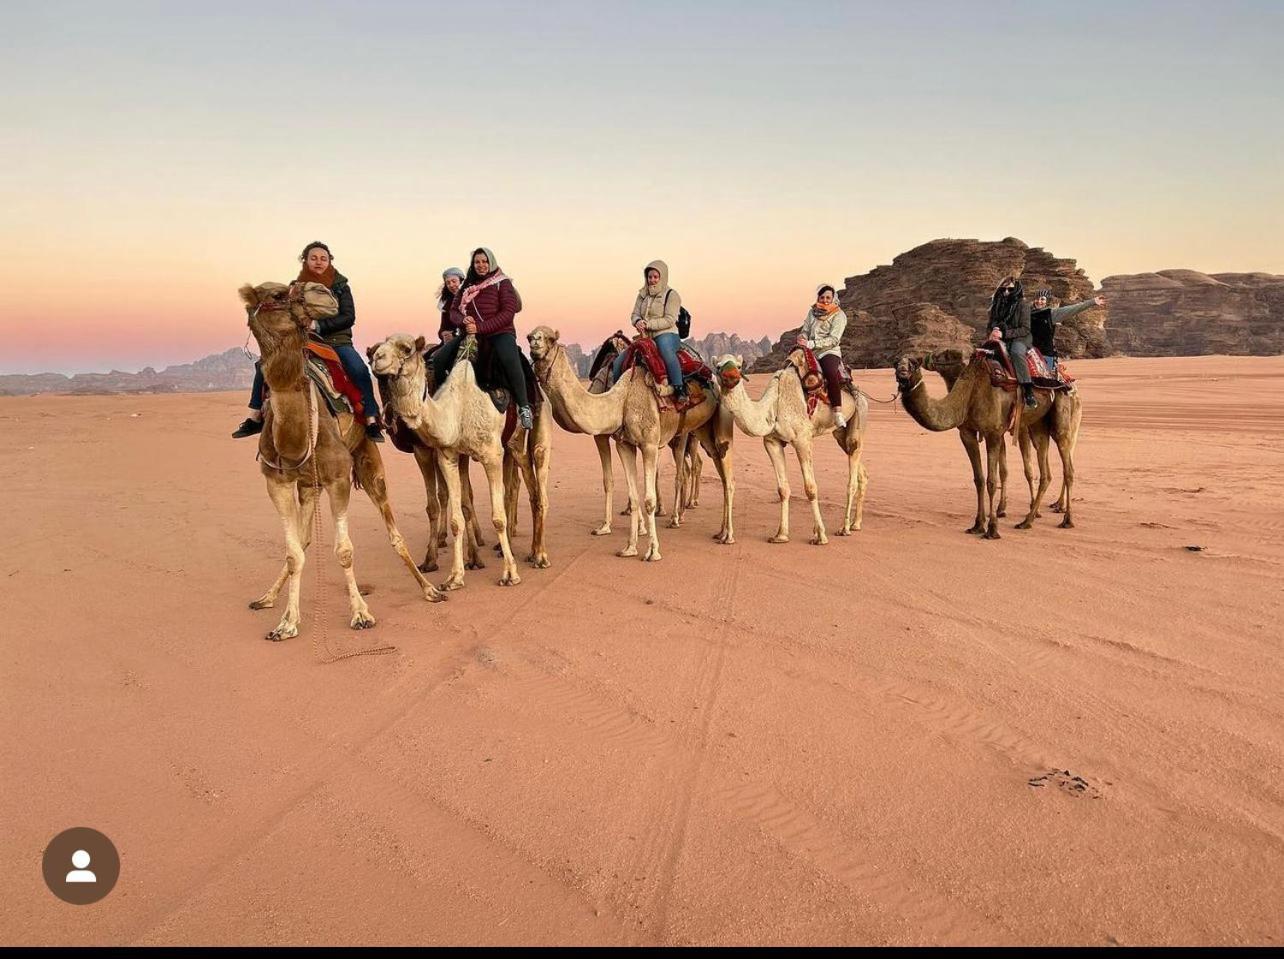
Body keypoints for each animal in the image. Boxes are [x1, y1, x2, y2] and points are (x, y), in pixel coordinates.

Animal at [242, 285, 444, 644]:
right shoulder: (277, 481)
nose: (321, 292)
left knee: (395, 532)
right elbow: (294, 553)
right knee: (303, 540)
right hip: (308, 484)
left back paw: (430, 588)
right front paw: (286, 622)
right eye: (277, 294)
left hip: (367, 460)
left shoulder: (338, 477)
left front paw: (361, 613)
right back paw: (267, 597)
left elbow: (344, 551)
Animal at [364, 331, 549, 585]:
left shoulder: (491, 455)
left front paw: (510, 573)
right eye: (377, 349)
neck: (456, 411)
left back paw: (538, 555)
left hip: (518, 440)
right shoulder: (448, 456)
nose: (377, 359)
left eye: (407, 349)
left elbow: (498, 517)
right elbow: (456, 517)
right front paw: (454, 576)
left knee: (532, 492)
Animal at [529, 326, 734, 559]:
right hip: (699, 430)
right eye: (530, 336)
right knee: (713, 469)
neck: (620, 399)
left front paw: (652, 551)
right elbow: (633, 495)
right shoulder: (624, 444)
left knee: (711, 474)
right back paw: (717, 530)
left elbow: (648, 499)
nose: (533, 341)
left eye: (550, 338)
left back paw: (714, 531)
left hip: (705, 426)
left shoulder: (649, 444)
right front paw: (629, 547)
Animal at [713, 351, 873, 546]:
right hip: (840, 434)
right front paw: (781, 535)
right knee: (861, 471)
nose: (731, 376)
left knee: (853, 464)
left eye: (739, 366)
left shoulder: (802, 439)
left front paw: (820, 536)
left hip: (859, 415)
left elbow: (811, 488)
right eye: (718, 366)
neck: (773, 407)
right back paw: (855, 524)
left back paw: (844, 528)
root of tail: (857, 391)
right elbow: (783, 489)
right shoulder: (772, 442)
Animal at [893, 346, 1083, 539]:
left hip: (1061, 421)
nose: (902, 372)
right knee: (1046, 472)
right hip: (1038, 426)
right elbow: (980, 479)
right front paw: (978, 524)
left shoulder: (994, 433)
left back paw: (1066, 519)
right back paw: (1027, 520)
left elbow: (993, 480)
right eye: (896, 363)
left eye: (913, 363)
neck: (970, 392)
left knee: (1068, 468)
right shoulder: (967, 433)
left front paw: (992, 528)